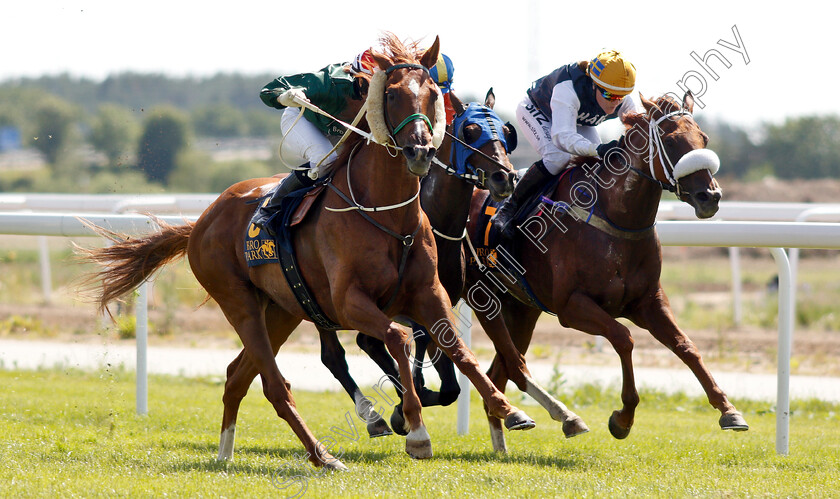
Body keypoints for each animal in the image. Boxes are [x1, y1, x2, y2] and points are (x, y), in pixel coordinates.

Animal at [83, 37, 532, 470]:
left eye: (433, 96)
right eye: (391, 95)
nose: (420, 151)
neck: (387, 214)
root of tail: (201, 222)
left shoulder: (430, 294)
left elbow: (459, 350)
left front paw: (509, 409)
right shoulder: (348, 302)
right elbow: (398, 338)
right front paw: (415, 429)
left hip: (283, 309)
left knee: (236, 376)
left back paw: (227, 452)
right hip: (240, 303)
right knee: (274, 384)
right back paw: (324, 455)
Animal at [466, 93, 748, 454]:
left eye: (705, 139)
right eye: (671, 142)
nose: (709, 196)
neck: (616, 219)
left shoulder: (649, 302)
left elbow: (686, 346)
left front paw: (729, 410)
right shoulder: (572, 307)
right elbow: (623, 338)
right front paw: (622, 419)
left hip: (521, 309)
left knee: (501, 369)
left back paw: (507, 438)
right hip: (486, 299)